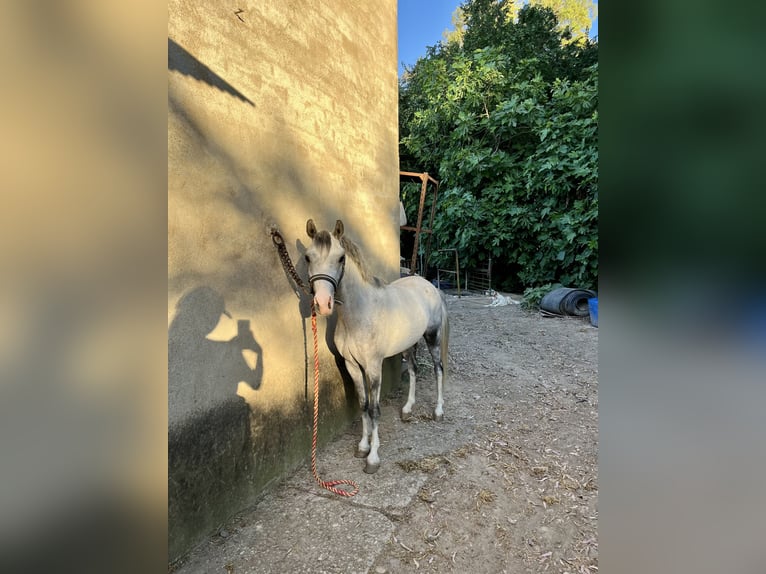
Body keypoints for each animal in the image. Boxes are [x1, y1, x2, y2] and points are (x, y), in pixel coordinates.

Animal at [304, 218, 449, 474]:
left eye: (340, 258)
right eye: (307, 257)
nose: (323, 303)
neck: (358, 314)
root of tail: (429, 286)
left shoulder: (373, 367)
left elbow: (374, 409)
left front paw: (373, 458)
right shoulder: (352, 366)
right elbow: (363, 405)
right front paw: (363, 447)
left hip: (432, 337)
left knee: (437, 369)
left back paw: (438, 411)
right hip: (408, 344)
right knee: (413, 370)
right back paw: (407, 409)